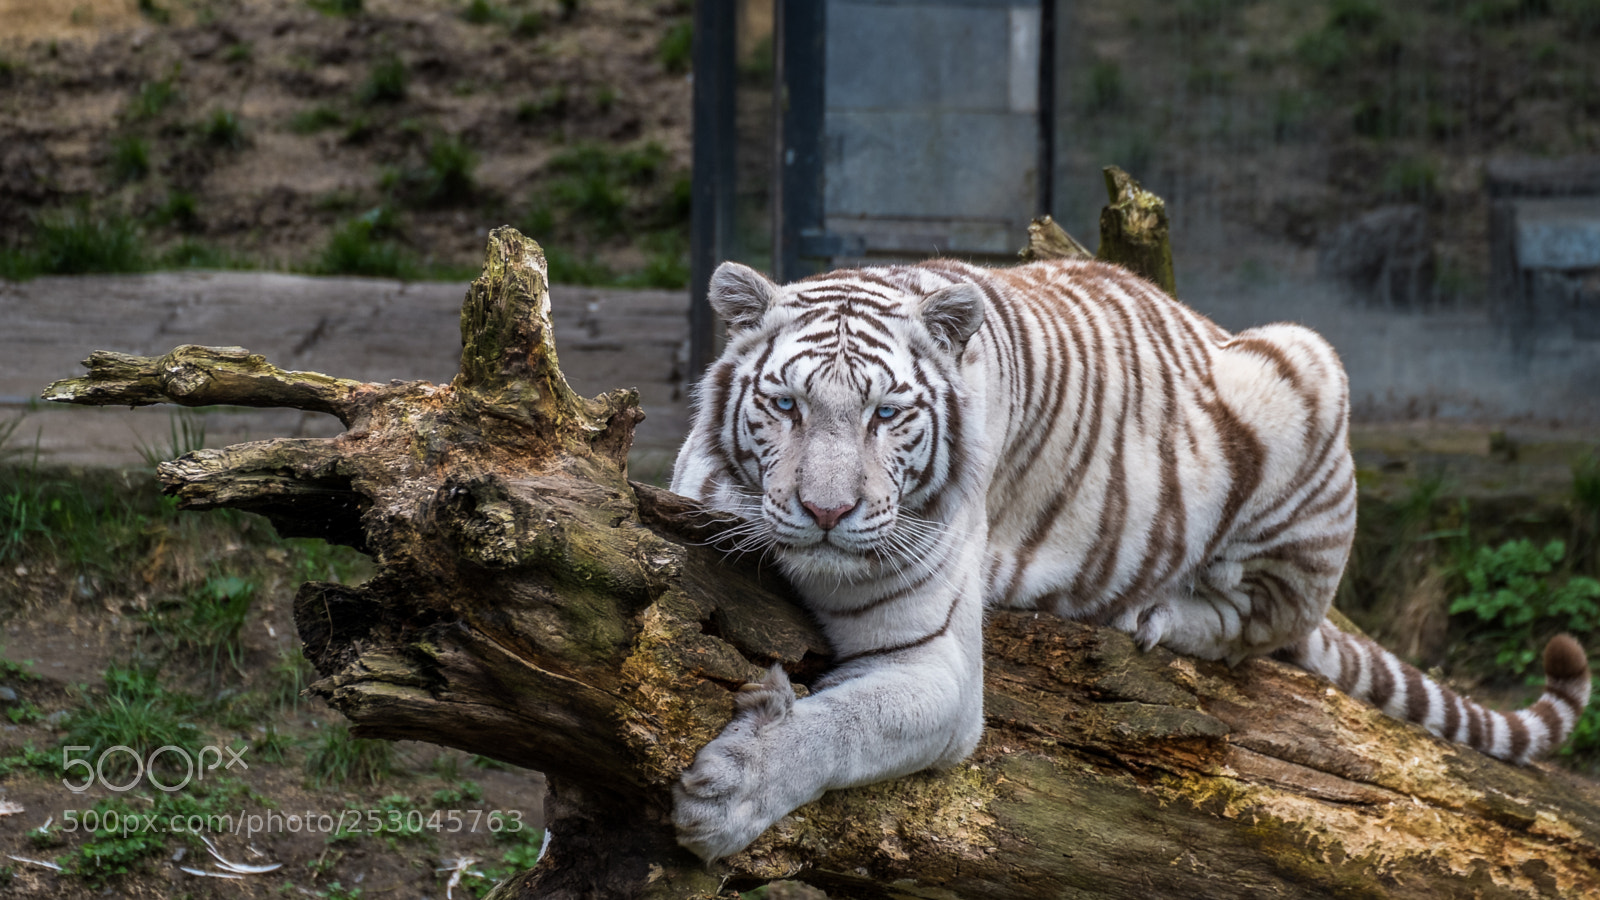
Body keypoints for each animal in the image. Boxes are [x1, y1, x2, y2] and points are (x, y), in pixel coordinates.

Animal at [668, 256, 1593, 862]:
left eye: (886, 415)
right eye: (786, 405)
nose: (827, 513)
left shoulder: (933, 665)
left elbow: (845, 728)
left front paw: (729, 792)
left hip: (1306, 368)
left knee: (1269, 618)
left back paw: (1159, 614)